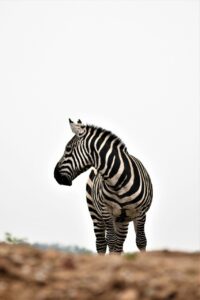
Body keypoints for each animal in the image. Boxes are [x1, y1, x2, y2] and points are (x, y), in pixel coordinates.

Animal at [54, 119, 152, 253]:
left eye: (68, 149)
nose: (55, 175)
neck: (119, 182)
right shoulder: (106, 210)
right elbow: (110, 241)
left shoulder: (140, 212)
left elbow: (141, 241)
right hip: (96, 215)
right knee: (101, 243)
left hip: (123, 219)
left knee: (120, 244)